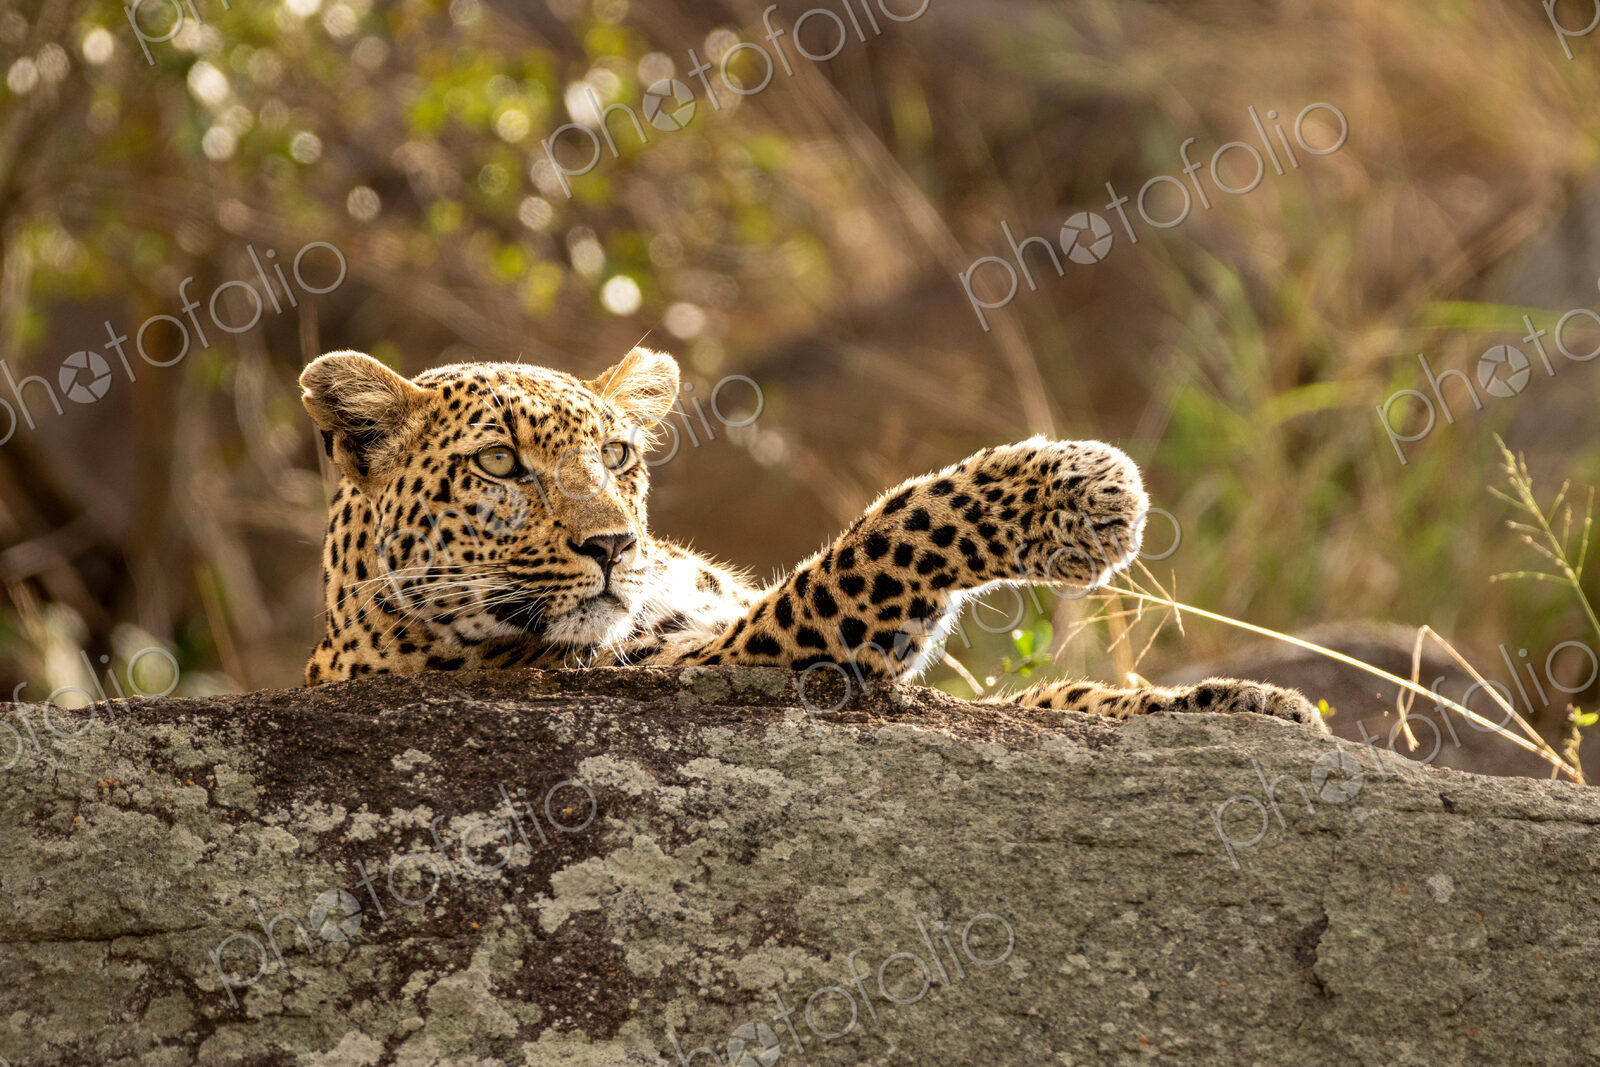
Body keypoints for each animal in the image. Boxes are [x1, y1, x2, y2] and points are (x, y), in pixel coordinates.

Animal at [298, 346, 1323, 730]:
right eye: (501, 465)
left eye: (618, 455)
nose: (614, 545)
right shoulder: (741, 658)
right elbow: (889, 528)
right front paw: (1081, 487)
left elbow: (1047, 697)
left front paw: (1250, 701)